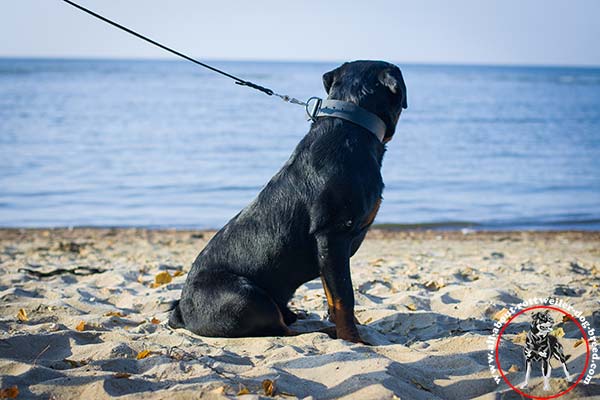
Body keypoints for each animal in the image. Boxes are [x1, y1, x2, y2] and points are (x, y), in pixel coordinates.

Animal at [169, 60, 408, 344]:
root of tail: (182, 312)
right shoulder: (332, 236)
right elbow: (344, 298)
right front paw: (352, 339)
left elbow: (332, 295)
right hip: (245, 297)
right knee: (280, 329)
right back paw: (320, 330)